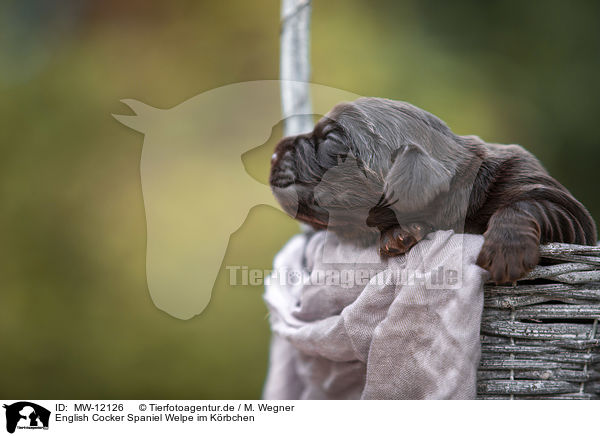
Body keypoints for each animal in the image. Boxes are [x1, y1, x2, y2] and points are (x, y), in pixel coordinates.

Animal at [270, 98, 596, 282]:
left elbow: (524, 204)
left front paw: (506, 249)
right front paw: (398, 234)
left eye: (330, 140)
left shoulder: (564, 208)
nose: (273, 154)